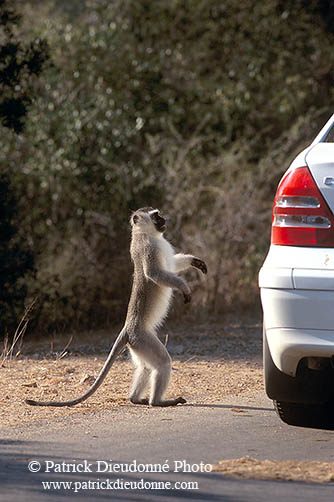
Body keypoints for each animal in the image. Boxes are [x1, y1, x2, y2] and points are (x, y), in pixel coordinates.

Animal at [26, 208, 207, 408]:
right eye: (155, 216)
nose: (164, 220)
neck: (145, 234)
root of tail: (127, 329)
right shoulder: (148, 249)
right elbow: (155, 274)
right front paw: (185, 287)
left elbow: (172, 266)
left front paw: (195, 261)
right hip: (142, 339)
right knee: (162, 363)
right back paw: (158, 402)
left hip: (136, 345)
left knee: (145, 367)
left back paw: (136, 399)